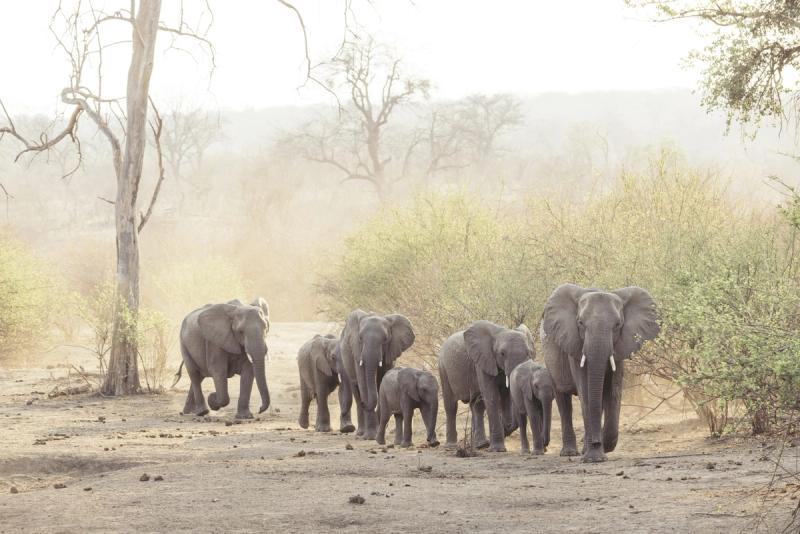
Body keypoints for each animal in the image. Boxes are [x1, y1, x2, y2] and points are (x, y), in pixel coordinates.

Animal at [340, 310, 415, 440]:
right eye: (360, 338)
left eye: (385, 339)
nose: (364, 403)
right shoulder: (357, 351)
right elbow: (363, 382)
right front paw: (370, 437)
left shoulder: (391, 351)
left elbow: (381, 382)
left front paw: (377, 433)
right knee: (355, 388)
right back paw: (361, 433)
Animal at [438, 321, 535, 452]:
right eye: (502, 354)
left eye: (529, 353)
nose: (507, 426)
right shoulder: (482, 360)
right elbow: (492, 396)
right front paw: (498, 450)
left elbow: (505, 395)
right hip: (443, 368)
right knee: (451, 406)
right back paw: (451, 446)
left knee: (476, 405)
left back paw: (480, 445)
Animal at [541, 284, 659, 462]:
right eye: (580, 323)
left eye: (618, 324)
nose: (596, 441)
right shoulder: (574, 343)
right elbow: (586, 393)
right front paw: (594, 458)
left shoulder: (620, 346)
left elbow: (613, 392)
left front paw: (603, 447)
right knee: (563, 401)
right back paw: (570, 453)